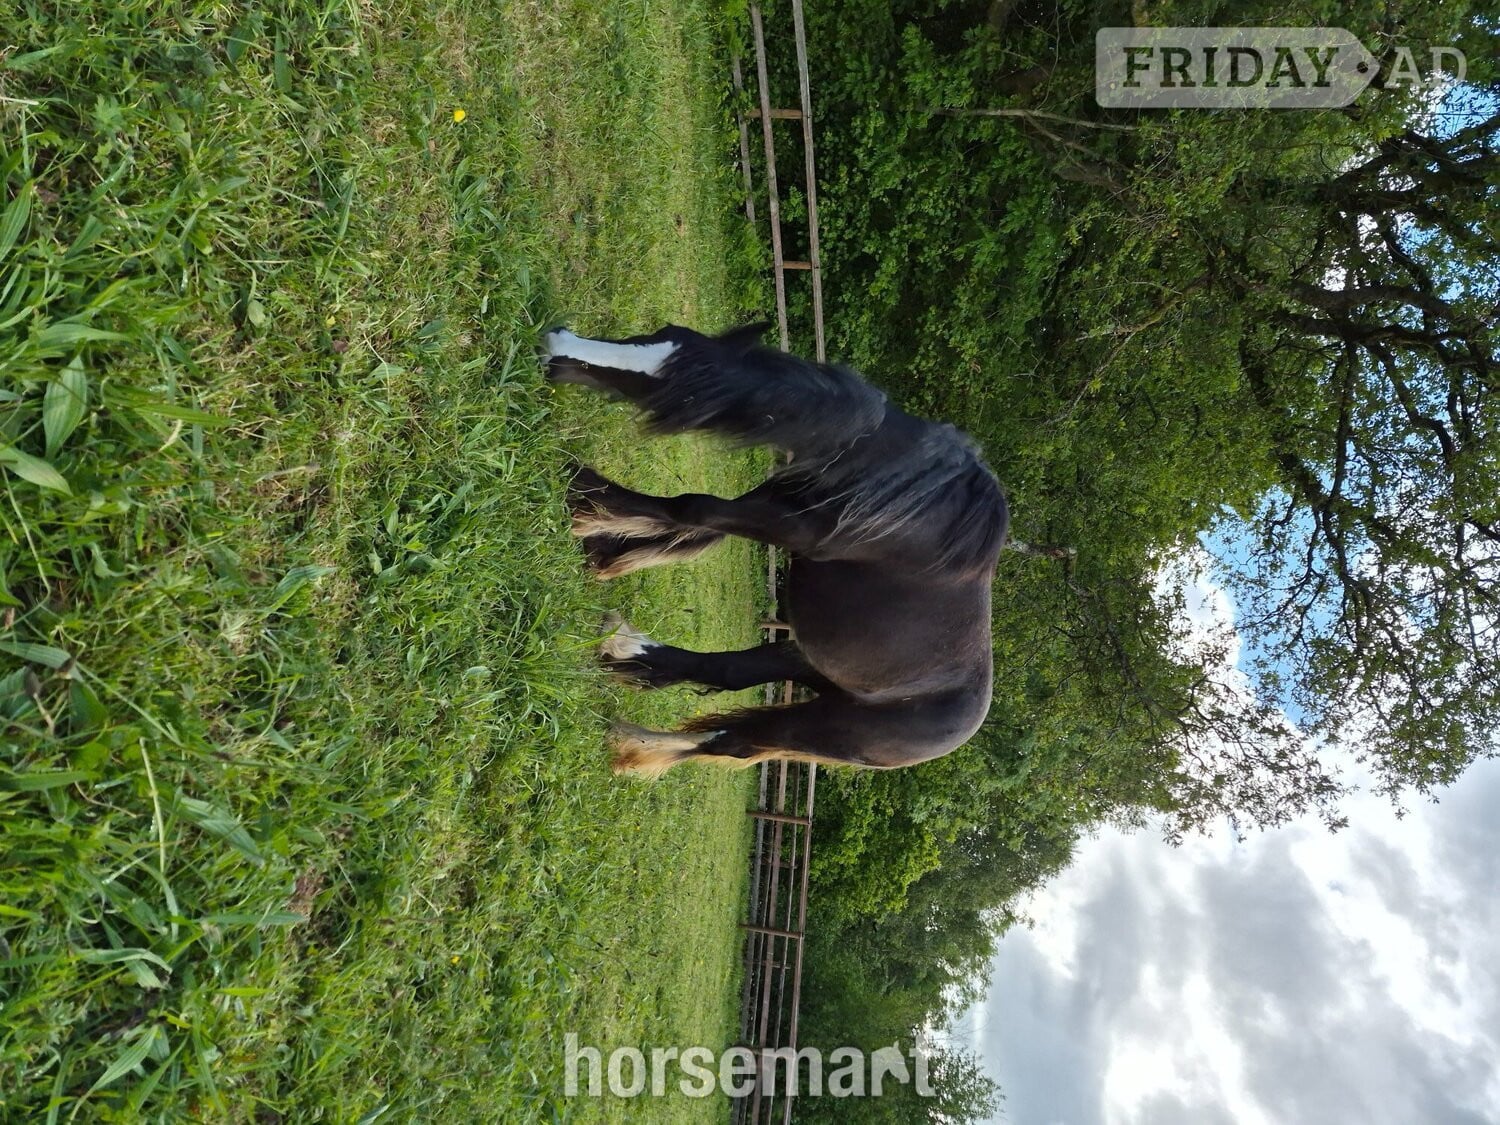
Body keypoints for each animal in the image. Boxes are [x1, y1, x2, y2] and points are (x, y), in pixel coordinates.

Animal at [543, 324, 1009, 777]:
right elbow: (688, 529)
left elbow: (690, 509)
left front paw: (584, 506)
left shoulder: (787, 527)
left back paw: (632, 743)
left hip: (825, 726)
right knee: (726, 672)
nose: (555, 344)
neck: (908, 497)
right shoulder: (771, 498)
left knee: (729, 742)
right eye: (652, 335)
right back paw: (623, 649)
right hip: (803, 661)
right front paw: (597, 534)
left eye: (684, 391)